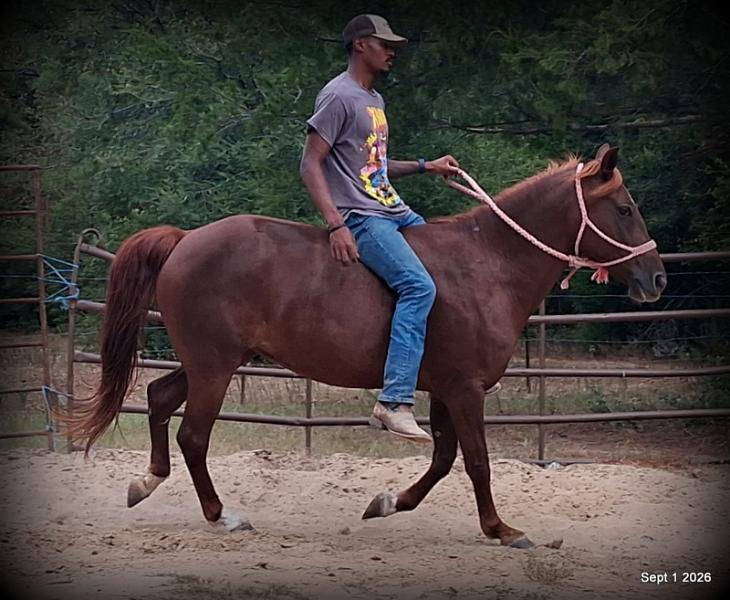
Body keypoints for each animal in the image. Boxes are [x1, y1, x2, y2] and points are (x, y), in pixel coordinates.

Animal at [71, 144, 666, 548]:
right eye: (625, 208)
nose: (657, 278)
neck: (487, 264)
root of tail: (183, 240)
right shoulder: (465, 388)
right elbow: (476, 461)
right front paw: (501, 528)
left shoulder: (444, 388)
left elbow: (444, 459)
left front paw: (387, 503)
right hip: (214, 367)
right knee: (193, 436)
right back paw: (223, 514)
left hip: (209, 362)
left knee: (158, 399)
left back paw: (146, 482)